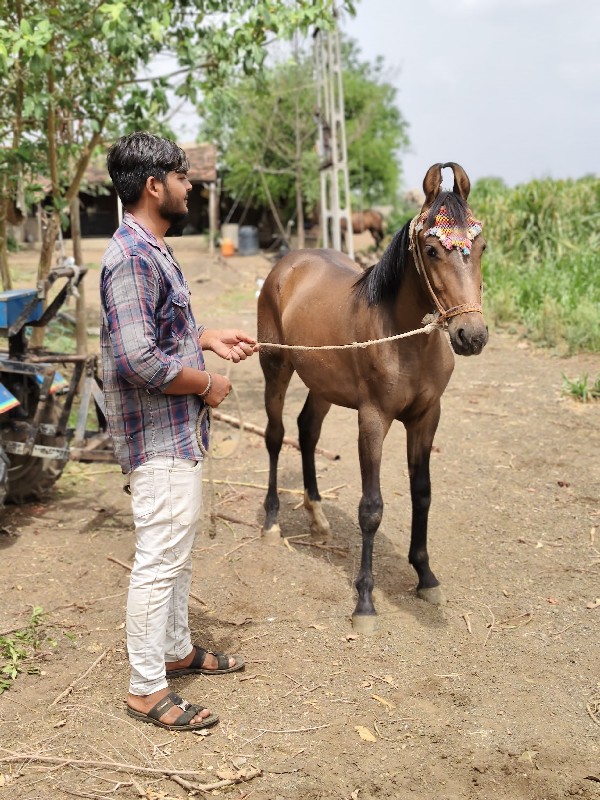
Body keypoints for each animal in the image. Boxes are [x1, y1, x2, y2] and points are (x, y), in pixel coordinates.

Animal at [256, 164, 488, 632]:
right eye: (432, 249)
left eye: (482, 246)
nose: (470, 336)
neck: (405, 339)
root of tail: (287, 264)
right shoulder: (373, 419)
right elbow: (371, 508)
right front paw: (364, 600)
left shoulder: (426, 417)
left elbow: (423, 492)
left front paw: (426, 576)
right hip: (276, 368)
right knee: (274, 435)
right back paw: (272, 522)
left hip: (321, 383)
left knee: (307, 430)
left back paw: (318, 516)